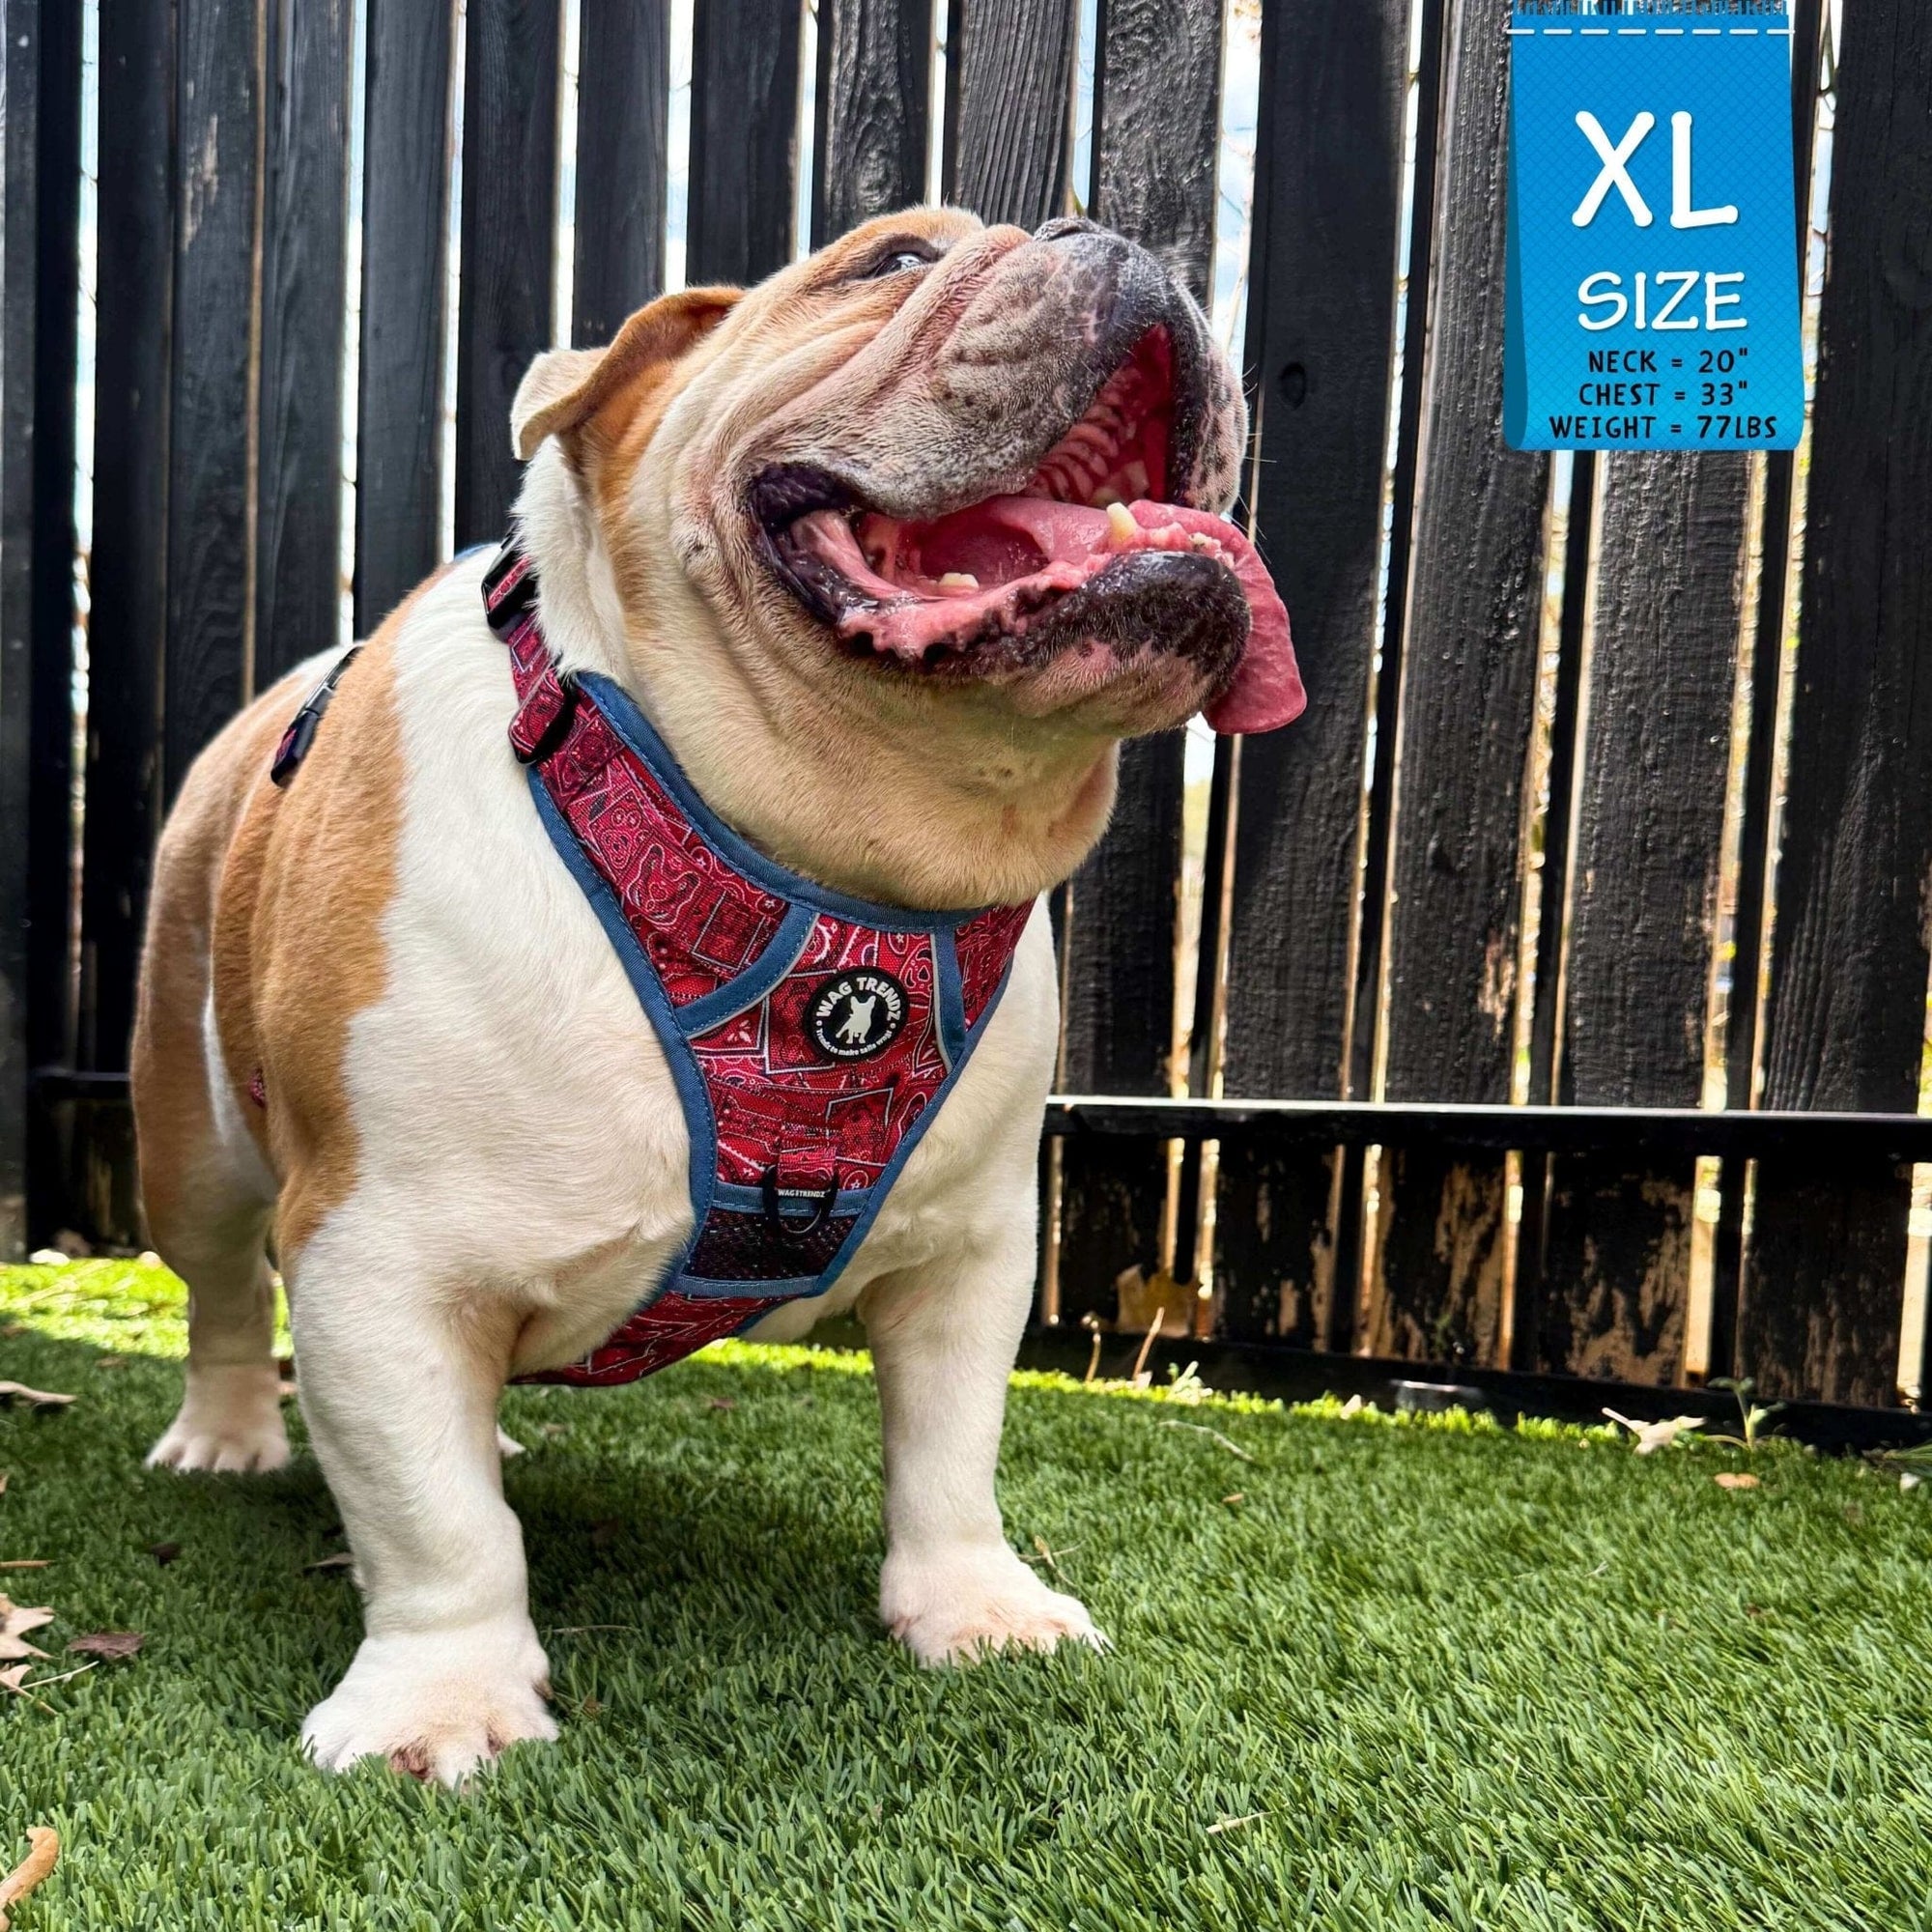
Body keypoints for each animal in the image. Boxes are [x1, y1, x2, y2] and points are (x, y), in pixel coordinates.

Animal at [130, 208, 1302, 1784]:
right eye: (889, 263)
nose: (1114, 234)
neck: (823, 860)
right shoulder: (377, 1256)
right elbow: (438, 1526)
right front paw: (442, 1700)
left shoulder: (971, 1249)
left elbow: (952, 1447)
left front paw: (974, 1609)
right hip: (188, 1139)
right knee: (219, 1291)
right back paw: (229, 1436)